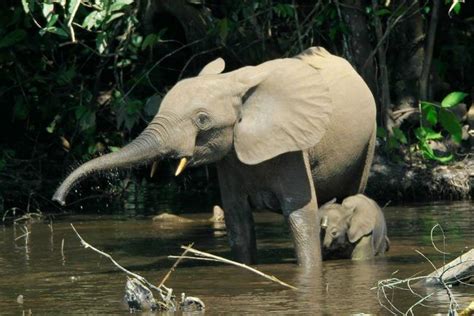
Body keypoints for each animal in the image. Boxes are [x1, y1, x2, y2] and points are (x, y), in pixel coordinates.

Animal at [52, 47, 378, 266]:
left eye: (202, 120)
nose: (59, 201)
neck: (234, 82)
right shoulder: (230, 157)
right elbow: (238, 220)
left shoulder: (291, 147)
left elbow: (300, 215)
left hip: (369, 140)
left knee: (351, 194)